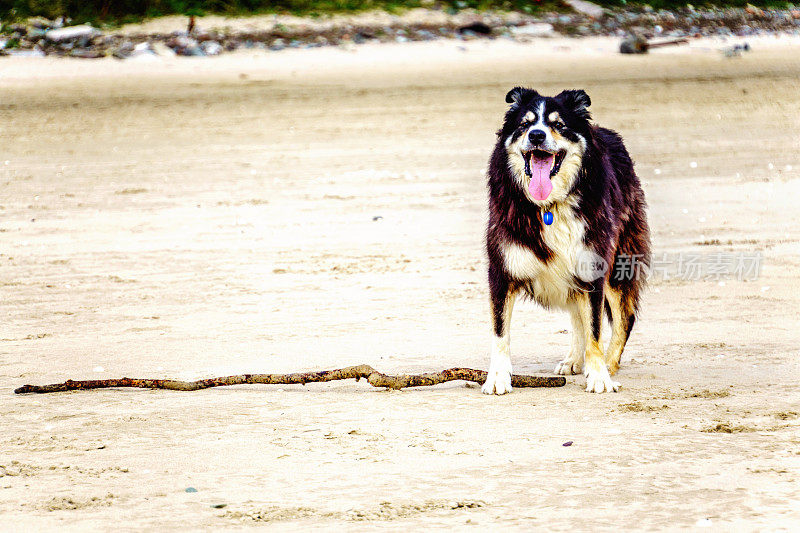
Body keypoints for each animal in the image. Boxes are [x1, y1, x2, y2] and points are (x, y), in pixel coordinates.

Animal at [482, 87, 648, 392]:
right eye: (525, 124)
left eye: (558, 125)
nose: (536, 135)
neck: (548, 207)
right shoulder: (501, 270)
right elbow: (500, 331)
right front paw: (498, 377)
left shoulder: (592, 266)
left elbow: (595, 327)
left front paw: (599, 375)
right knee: (577, 313)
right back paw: (574, 359)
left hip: (618, 262)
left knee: (623, 318)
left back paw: (608, 364)